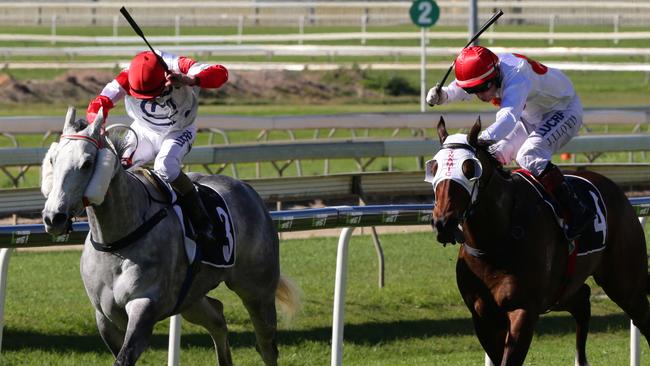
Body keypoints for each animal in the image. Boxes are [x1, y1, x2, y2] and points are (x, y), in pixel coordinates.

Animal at [38, 107, 296, 364]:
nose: (53, 217)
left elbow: (124, 356)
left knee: (266, 346)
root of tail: (248, 189)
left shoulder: (144, 305)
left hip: (257, 290)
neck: (116, 242)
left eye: (87, 163)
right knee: (217, 317)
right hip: (191, 297)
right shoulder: (104, 316)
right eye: (52, 159)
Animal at [428, 117, 644, 366]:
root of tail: (617, 190)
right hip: (561, 291)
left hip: (626, 285)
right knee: (582, 300)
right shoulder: (483, 317)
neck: (495, 240)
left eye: (469, 169)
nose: (443, 223)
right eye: (434, 168)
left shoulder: (524, 312)